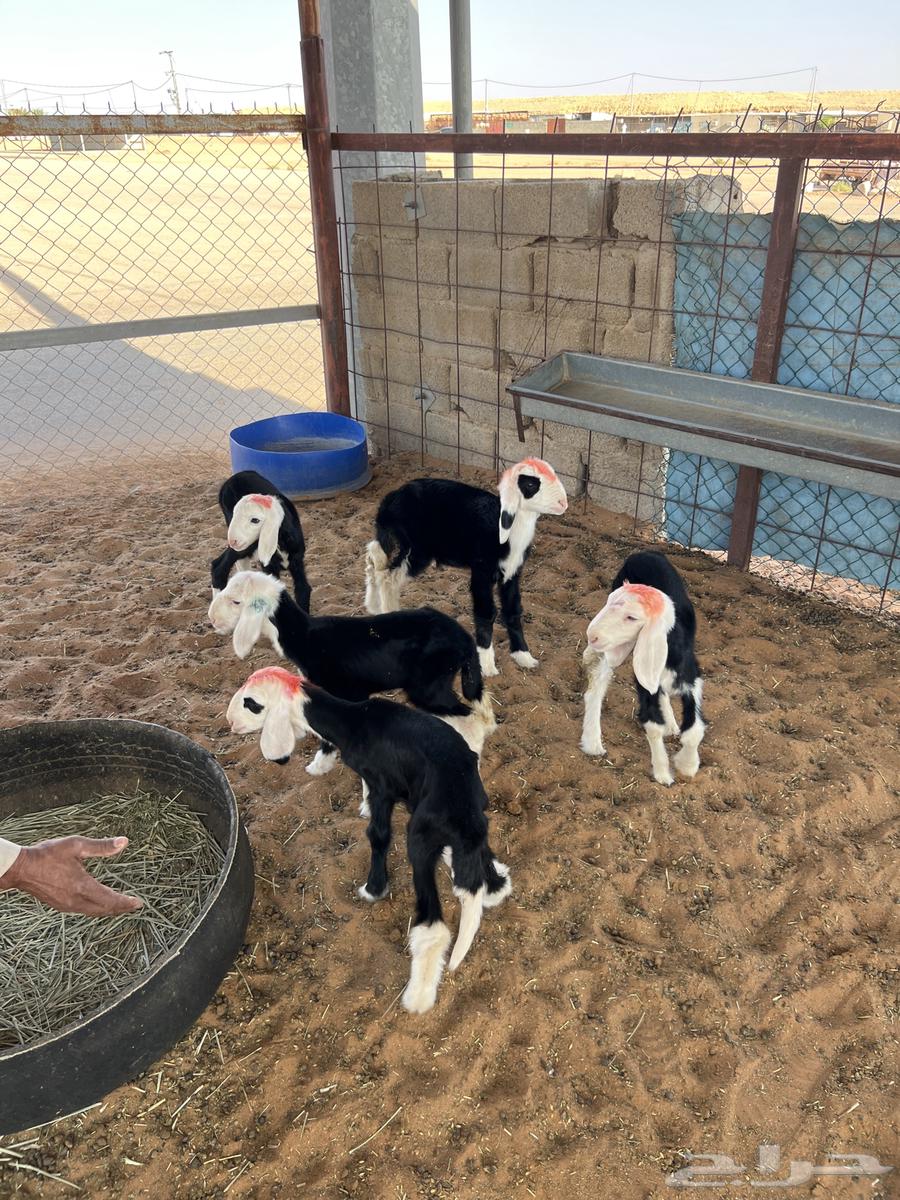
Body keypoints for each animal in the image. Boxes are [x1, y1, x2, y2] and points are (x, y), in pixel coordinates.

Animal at [208, 569, 495, 775]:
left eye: (236, 601)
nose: (212, 620)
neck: (305, 638)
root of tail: (463, 637)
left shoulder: (340, 693)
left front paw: (317, 767)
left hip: (428, 686)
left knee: (469, 718)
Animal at [211, 470, 312, 612]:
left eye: (255, 520)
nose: (233, 540)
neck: (281, 542)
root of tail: (232, 478)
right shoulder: (269, 567)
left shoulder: (297, 562)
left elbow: (303, 590)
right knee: (221, 567)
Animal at [226, 665, 512, 1013]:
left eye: (251, 703)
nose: (230, 722)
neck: (353, 721)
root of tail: (463, 808)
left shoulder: (382, 786)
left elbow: (378, 835)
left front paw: (373, 887)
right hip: (471, 821)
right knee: (479, 861)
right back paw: (494, 888)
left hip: (419, 837)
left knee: (433, 924)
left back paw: (418, 995)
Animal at [364, 458, 568, 678]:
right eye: (530, 484)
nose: (563, 503)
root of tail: (390, 498)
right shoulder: (481, 570)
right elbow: (485, 612)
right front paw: (487, 666)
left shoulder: (513, 572)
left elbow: (513, 610)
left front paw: (524, 656)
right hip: (416, 549)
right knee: (388, 577)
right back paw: (388, 613)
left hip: (402, 544)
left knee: (375, 558)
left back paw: (373, 605)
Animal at [580, 550, 705, 786]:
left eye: (632, 617)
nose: (592, 636)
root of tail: (642, 552)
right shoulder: (643, 681)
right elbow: (653, 725)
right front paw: (663, 773)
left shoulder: (690, 679)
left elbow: (694, 729)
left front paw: (688, 765)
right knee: (597, 684)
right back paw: (592, 741)